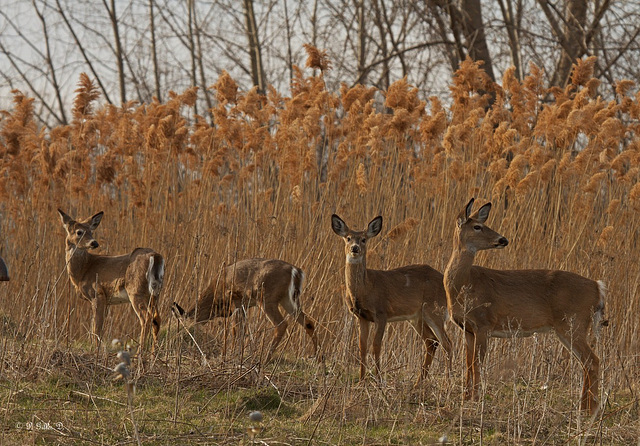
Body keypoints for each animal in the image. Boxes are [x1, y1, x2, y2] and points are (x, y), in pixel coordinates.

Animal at [57, 209, 165, 352]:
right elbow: (95, 325)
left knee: (146, 318)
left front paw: (96, 349)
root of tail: (156, 256)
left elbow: (97, 326)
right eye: (79, 232)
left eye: (91, 231)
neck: (83, 270)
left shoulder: (98, 293)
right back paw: (154, 353)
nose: (94, 243)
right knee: (157, 319)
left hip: (136, 290)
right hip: (155, 292)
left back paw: (139, 353)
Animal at [172, 258, 318, 362]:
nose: (179, 338)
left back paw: (265, 358)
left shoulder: (235, 301)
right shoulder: (244, 306)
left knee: (281, 324)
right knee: (308, 322)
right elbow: (242, 329)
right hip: (288, 299)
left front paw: (229, 354)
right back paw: (316, 357)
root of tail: (296, 271)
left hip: (266, 298)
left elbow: (235, 329)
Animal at [332, 213, 452, 386]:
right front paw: (361, 381)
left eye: (364, 239)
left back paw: (448, 382)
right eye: (348, 238)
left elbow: (376, 345)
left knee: (447, 343)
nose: (355, 248)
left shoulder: (381, 313)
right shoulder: (361, 316)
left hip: (435, 310)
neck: (365, 288)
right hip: (417, 317)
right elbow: (362, 346)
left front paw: (379, 380)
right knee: (432, 342)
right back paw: (417, 383)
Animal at [444, 199, 604, 414]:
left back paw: (589, 410)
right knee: (586, 362)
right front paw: (466, 398)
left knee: (592, 360)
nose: (503, 240)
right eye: (477, 226)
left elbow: (477, 364)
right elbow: (469, 364)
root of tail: (597, 287)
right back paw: (583, 407)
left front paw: (475, 400)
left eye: (483, 224)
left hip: (574, 322)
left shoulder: (484, 323)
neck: (464, 284)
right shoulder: (468, 329)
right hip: (568, 328)